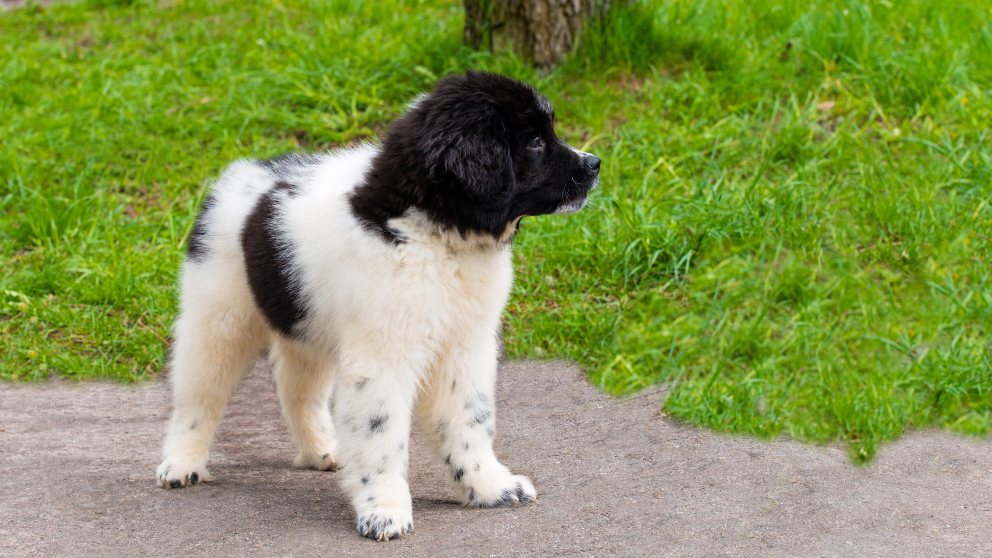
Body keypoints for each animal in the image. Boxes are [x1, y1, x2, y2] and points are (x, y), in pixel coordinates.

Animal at [157, 71, 596, 544]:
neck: (435, 235)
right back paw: (181, 463)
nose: (595, 164)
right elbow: (381, 435)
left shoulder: (465, 344)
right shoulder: (383, 354)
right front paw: (384, 510)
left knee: (297, 390)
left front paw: (490, 486)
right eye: (534, 141)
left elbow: (470, 420)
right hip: (218, 314)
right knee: (198, 395)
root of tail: (240, 173)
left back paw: (321, 450)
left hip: (306, 322)